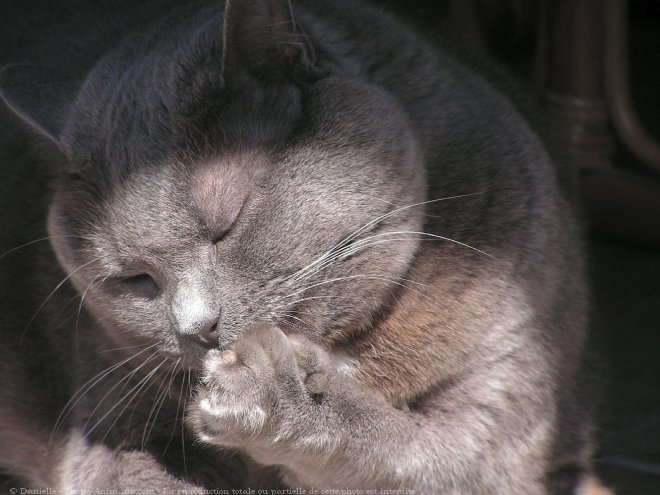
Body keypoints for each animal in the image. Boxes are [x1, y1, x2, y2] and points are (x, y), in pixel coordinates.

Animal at [0, 0, 604, 494]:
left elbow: (412, 453)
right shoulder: (115, 409)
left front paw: (273, 396)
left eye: (227, 224)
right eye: (135, 280)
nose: (197, 327)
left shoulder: (504, 400)